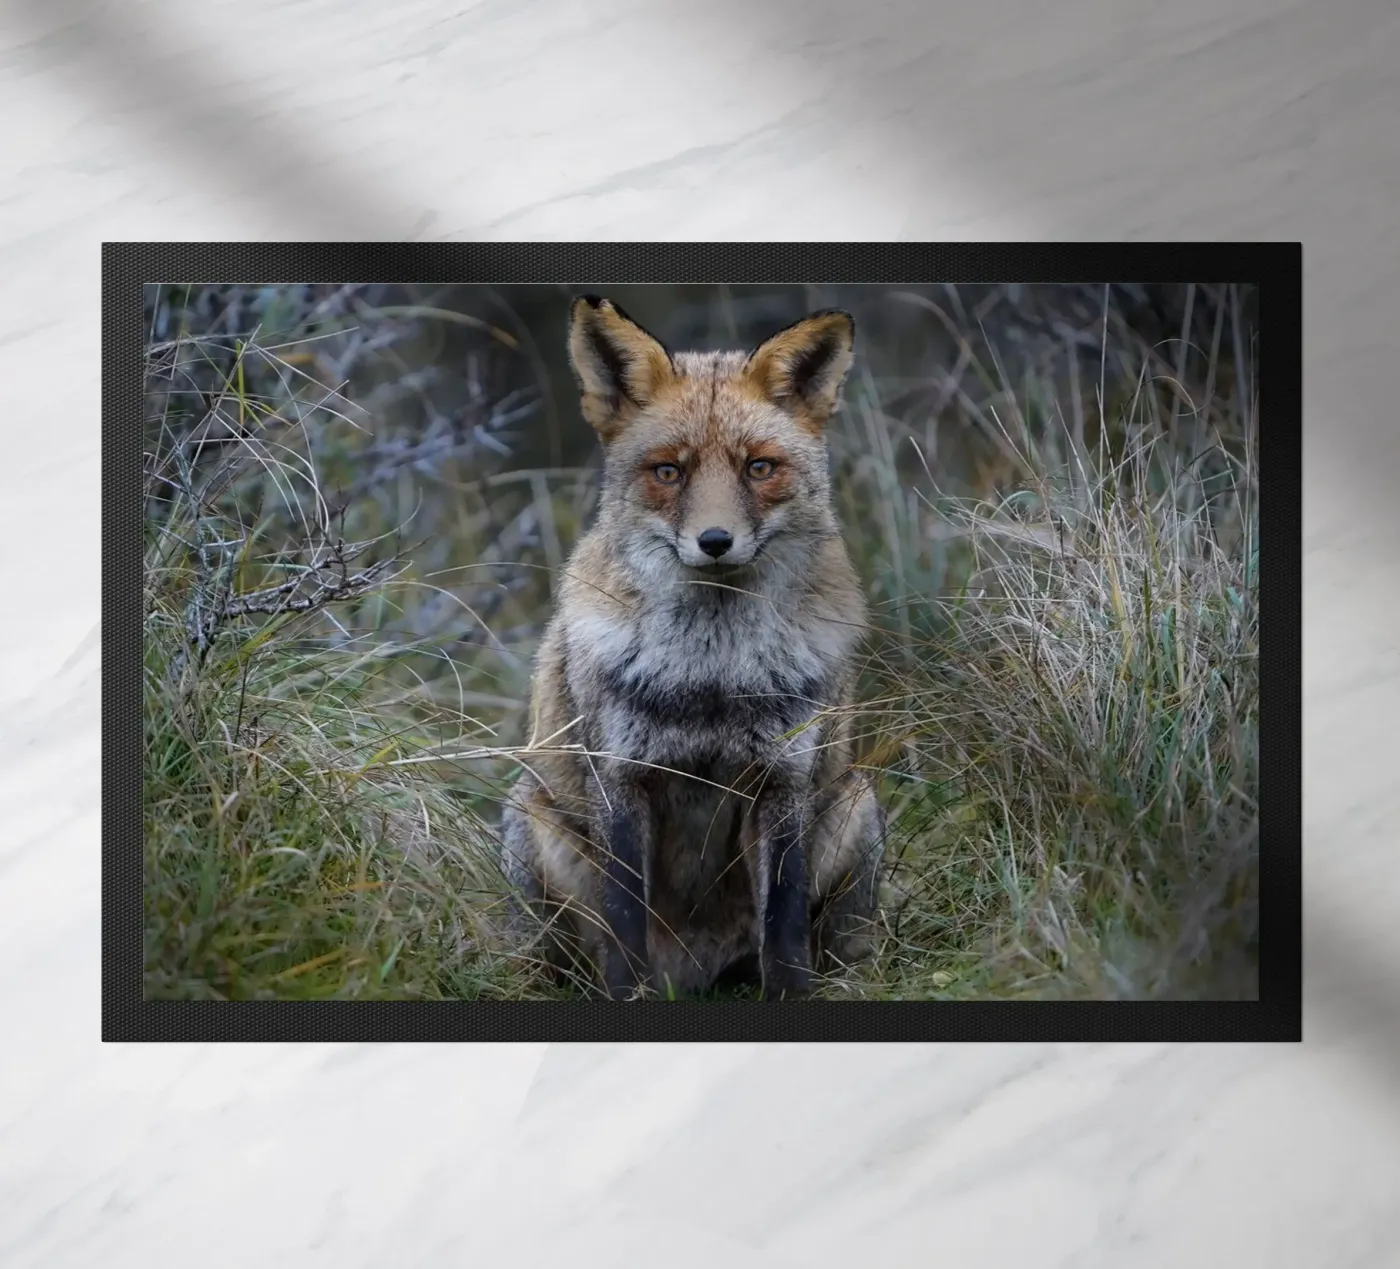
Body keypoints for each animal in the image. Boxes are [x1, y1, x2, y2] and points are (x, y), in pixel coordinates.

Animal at [500, 295, 885, 1000]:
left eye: (759, 468)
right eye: (668, 471)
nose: (715, 541)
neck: (711, 675)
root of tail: (697, 974)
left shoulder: (782, 779)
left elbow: (784, 923)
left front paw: (791, 997)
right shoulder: (621, 779)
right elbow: (626, 925)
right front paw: (628, 1000)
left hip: (856, 802)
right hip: (529, 825)